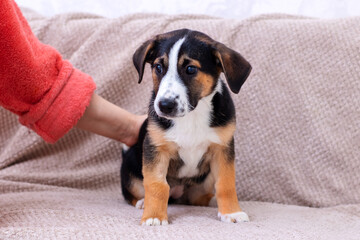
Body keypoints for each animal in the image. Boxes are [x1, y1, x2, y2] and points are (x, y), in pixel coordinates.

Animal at [121, 29, 250, 226]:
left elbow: (225, 184)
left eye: (190, 69)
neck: (192, 115)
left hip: (203, 184)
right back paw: (143, 203)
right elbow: (157, 186)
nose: (164, 105)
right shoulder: (156, 149)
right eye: (158, 67)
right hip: (130, 173)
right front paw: (154, 216)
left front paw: (232, 212)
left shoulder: (222, 149)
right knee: (135, 194)